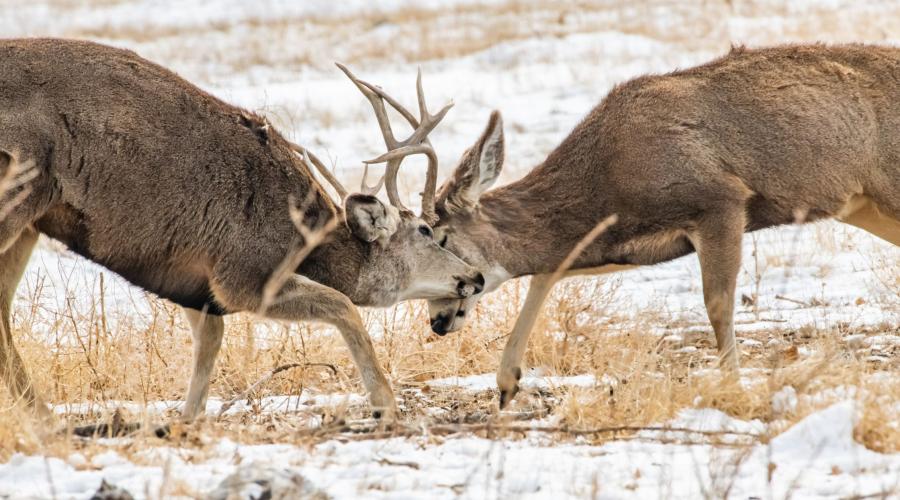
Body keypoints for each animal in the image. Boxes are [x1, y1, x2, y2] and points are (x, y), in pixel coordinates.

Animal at [0, 40, 482, 422]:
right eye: (427, 232)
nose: (474, 277)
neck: (305, 233)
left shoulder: (197, 287)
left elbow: (209, 346)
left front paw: (186, 421)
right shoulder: (244, 273)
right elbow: (344, 304)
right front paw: (386, 405)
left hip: (31, 220)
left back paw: (43, 418)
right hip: (19, 186)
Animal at [422, 44, 900, 406]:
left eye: (438, 236)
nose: (437, 322)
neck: (606, 175)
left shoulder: (720, 199)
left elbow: (718, 303)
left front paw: (733, 388)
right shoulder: (625, 243)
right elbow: (546, 273)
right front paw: (507, 384)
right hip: (868, 207)